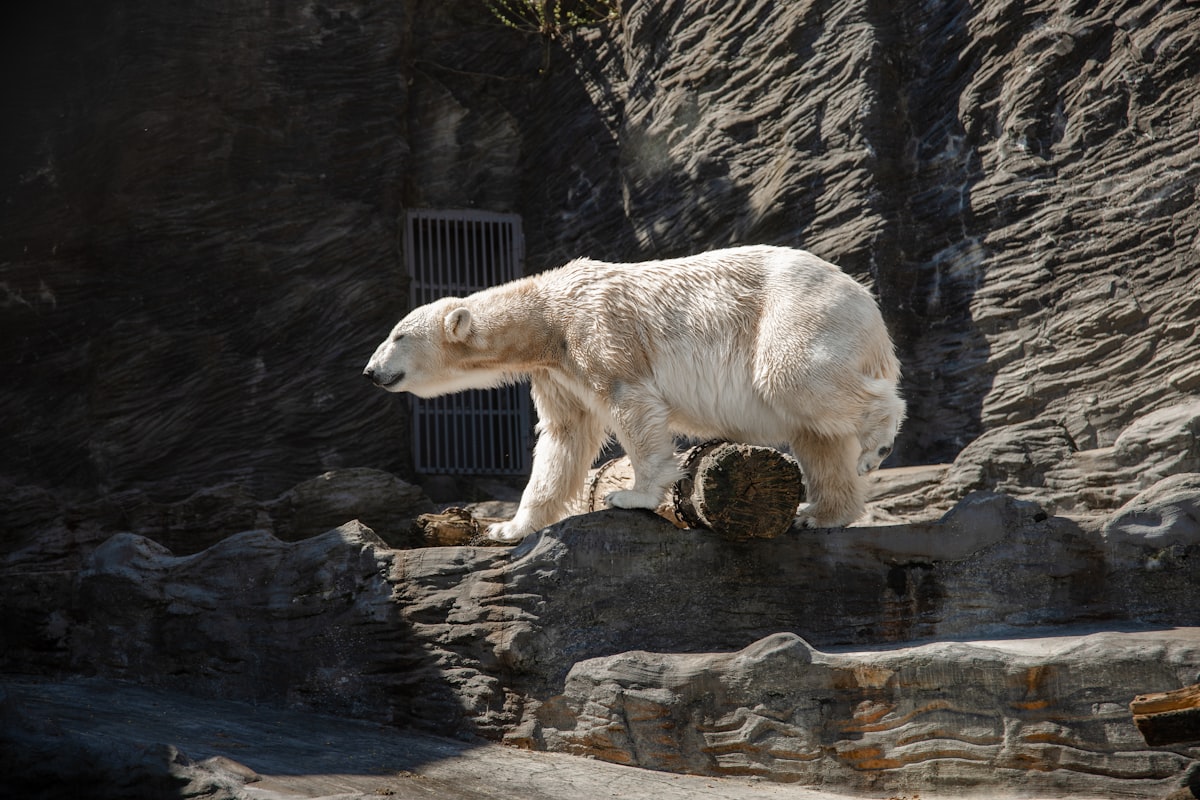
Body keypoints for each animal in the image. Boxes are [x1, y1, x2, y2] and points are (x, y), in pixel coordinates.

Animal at [360, 245, 902, 544]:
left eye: (398, 335)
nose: (370, 371)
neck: (546, 317)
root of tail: (868, 302)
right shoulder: (556, 371)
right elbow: (564, 436)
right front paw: (509, 527)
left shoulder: (595, 331)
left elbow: (630, 403)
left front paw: (631, 494)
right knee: (817, 434)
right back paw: (820, 514)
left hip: (796, 313)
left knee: (793, 377)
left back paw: (876, 443)